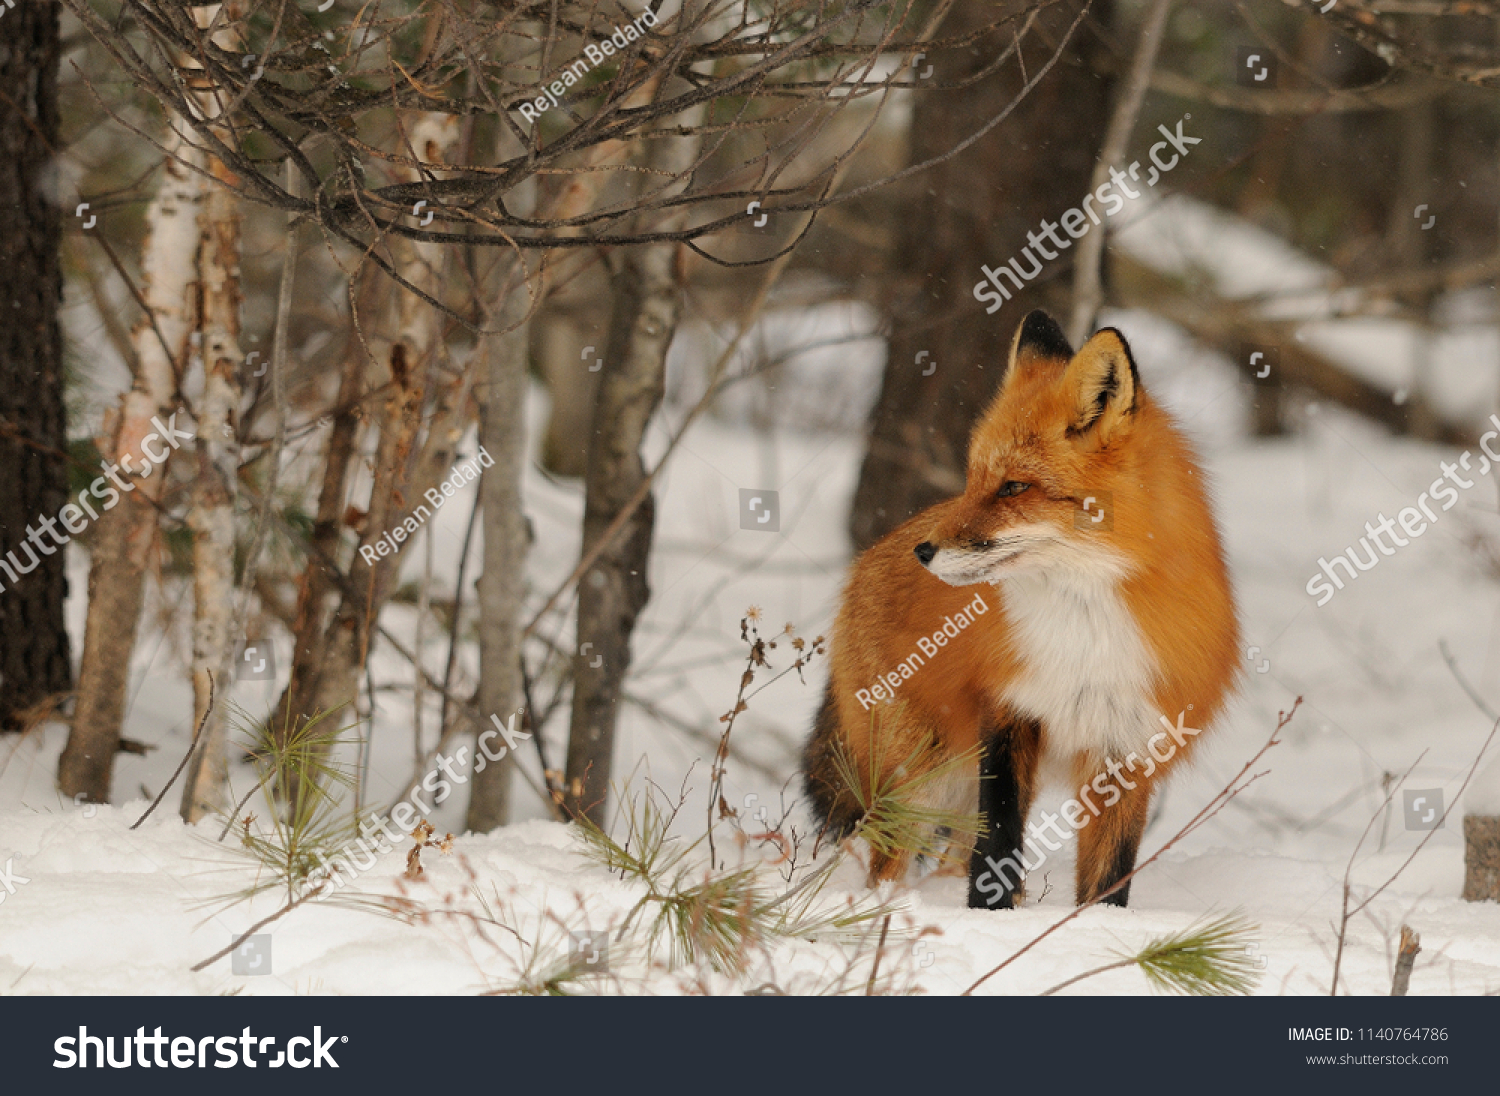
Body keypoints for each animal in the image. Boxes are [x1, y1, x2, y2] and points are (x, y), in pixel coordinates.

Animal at [802, 310, 1239, 909]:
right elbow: (999, 842)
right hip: (922, 771)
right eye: (974, 479)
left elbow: (1110, 877)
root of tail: (866, 559)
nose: (924, 552)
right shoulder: (1009, 710)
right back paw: (884, 908)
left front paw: (1096, 927)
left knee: (948, 853)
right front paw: (992, 920)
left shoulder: (1126, 740)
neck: (1085, 627)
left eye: (1013, 486)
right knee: (891, 858)